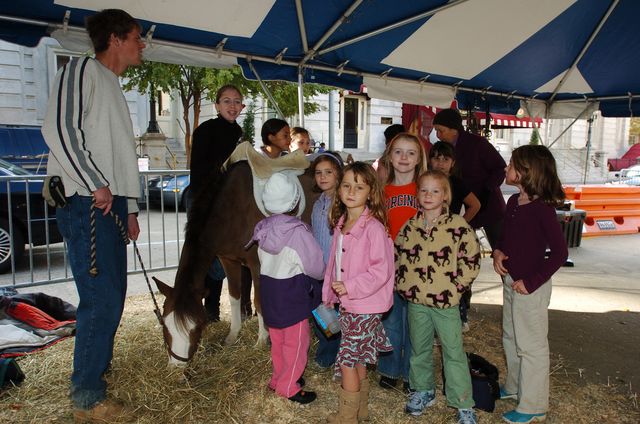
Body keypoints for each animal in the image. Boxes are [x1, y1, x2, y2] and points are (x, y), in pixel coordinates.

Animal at [152, 161, 318, 366]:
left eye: (196, 327)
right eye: (164, 325)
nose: (177, 366)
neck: (231, 210)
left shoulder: (257, 264)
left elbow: (259, 301)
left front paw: (261, 341)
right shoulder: (228, 260)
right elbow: (234, 297)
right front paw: (233, 335)